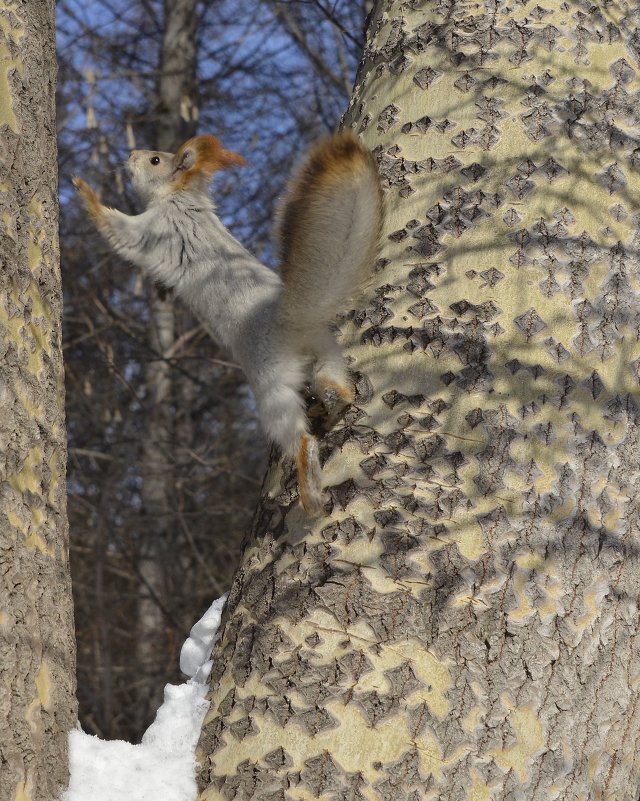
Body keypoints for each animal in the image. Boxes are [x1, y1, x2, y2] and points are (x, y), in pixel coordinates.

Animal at [75, 131, 384, 512]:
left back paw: (308, 486)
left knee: (296, 433)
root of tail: (289, 322)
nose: (131, 154)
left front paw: (84, 191)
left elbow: (120, 232)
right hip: (326, 352)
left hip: (269, 380)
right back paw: (336, 399)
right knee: (335, 385)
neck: (180, 197)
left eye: (155, 160)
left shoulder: (156, 230)